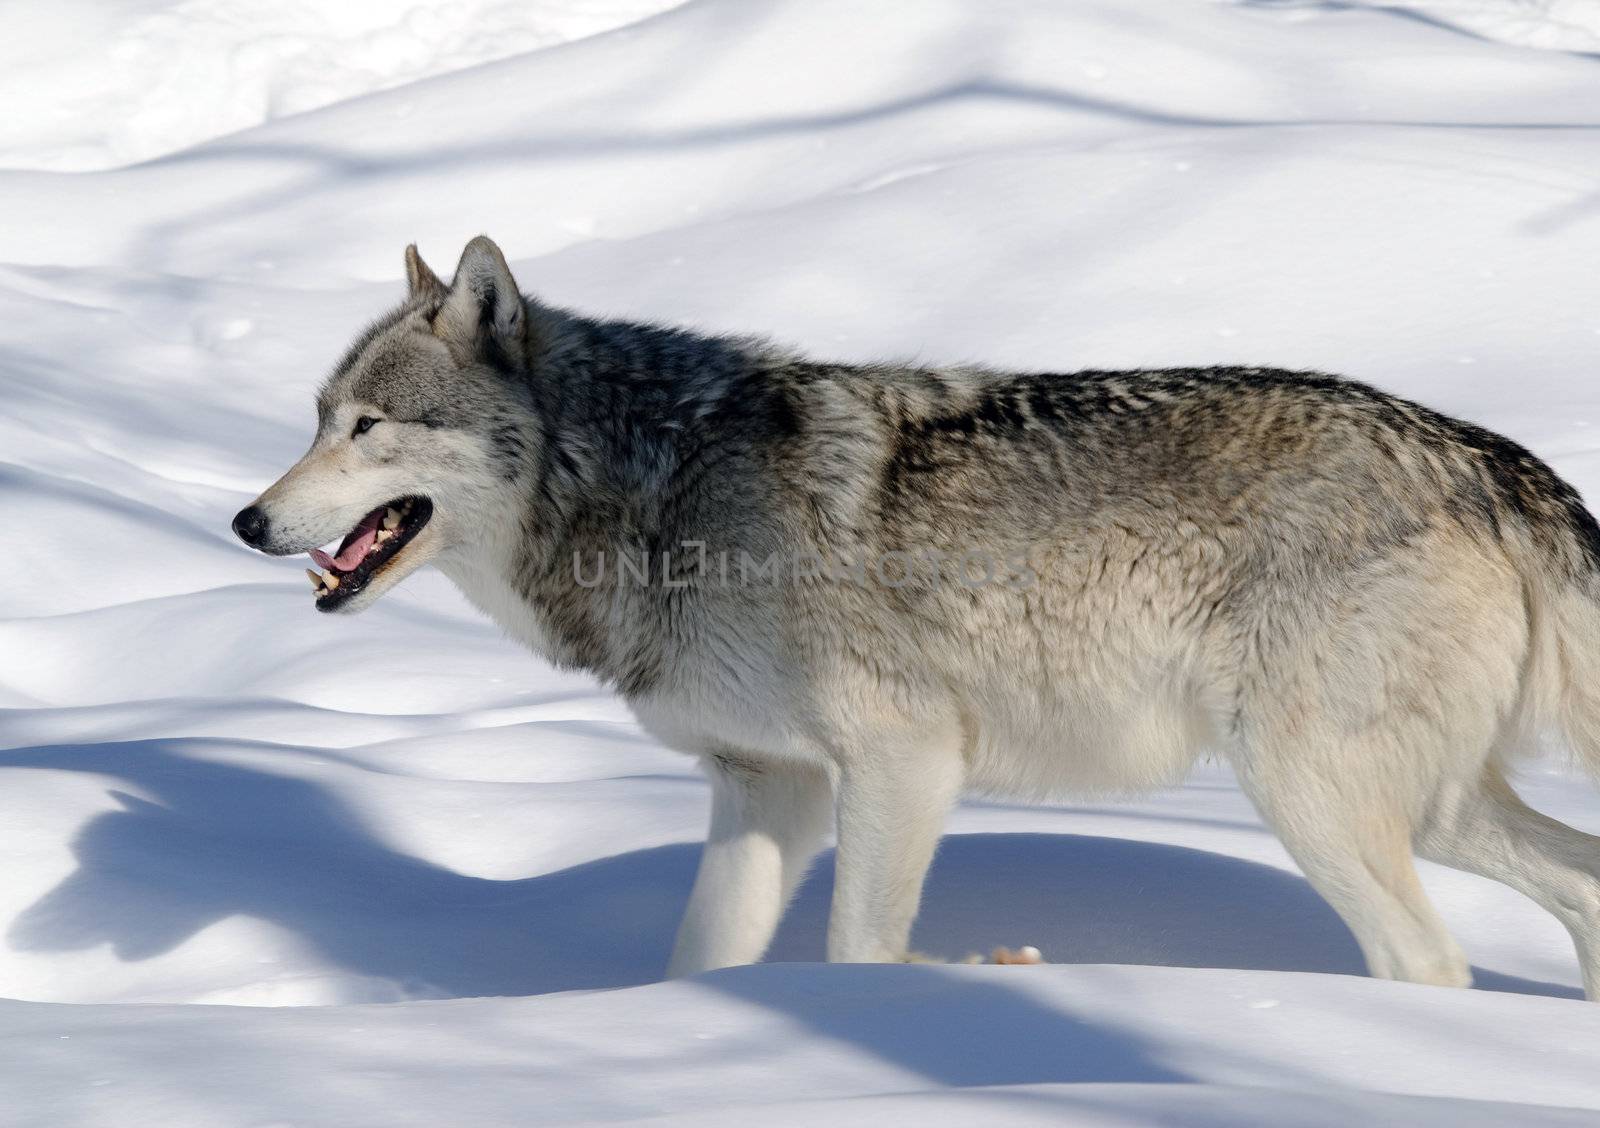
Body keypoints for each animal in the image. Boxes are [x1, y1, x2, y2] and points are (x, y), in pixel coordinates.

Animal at [232, 236, 1600, 992]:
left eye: (369, 427)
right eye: (316, 419)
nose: (247, 522)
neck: (654, 482)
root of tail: (1489, 459)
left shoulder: (903, 760)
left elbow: (857, 954)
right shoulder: (768, 790)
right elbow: (702, 964)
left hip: (1307, 790)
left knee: (1426, 961)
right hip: (1426, 805)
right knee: (1578, 887)